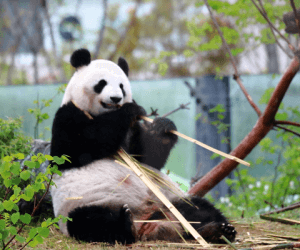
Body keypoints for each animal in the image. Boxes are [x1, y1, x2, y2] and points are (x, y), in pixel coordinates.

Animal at [49, 48, 237, 244]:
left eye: (122, 86)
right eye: (101, 83)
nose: (116, 98)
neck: (100, 113)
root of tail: (148, 225)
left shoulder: (132, 134)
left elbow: (148, 157)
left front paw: (162, 128)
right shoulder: (68, 116)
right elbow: (80, 145)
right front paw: (131, 109)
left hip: (172, 201)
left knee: (198, 209)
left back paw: (218, 230)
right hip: (82, 204)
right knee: (90, 221)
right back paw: (125, 222)